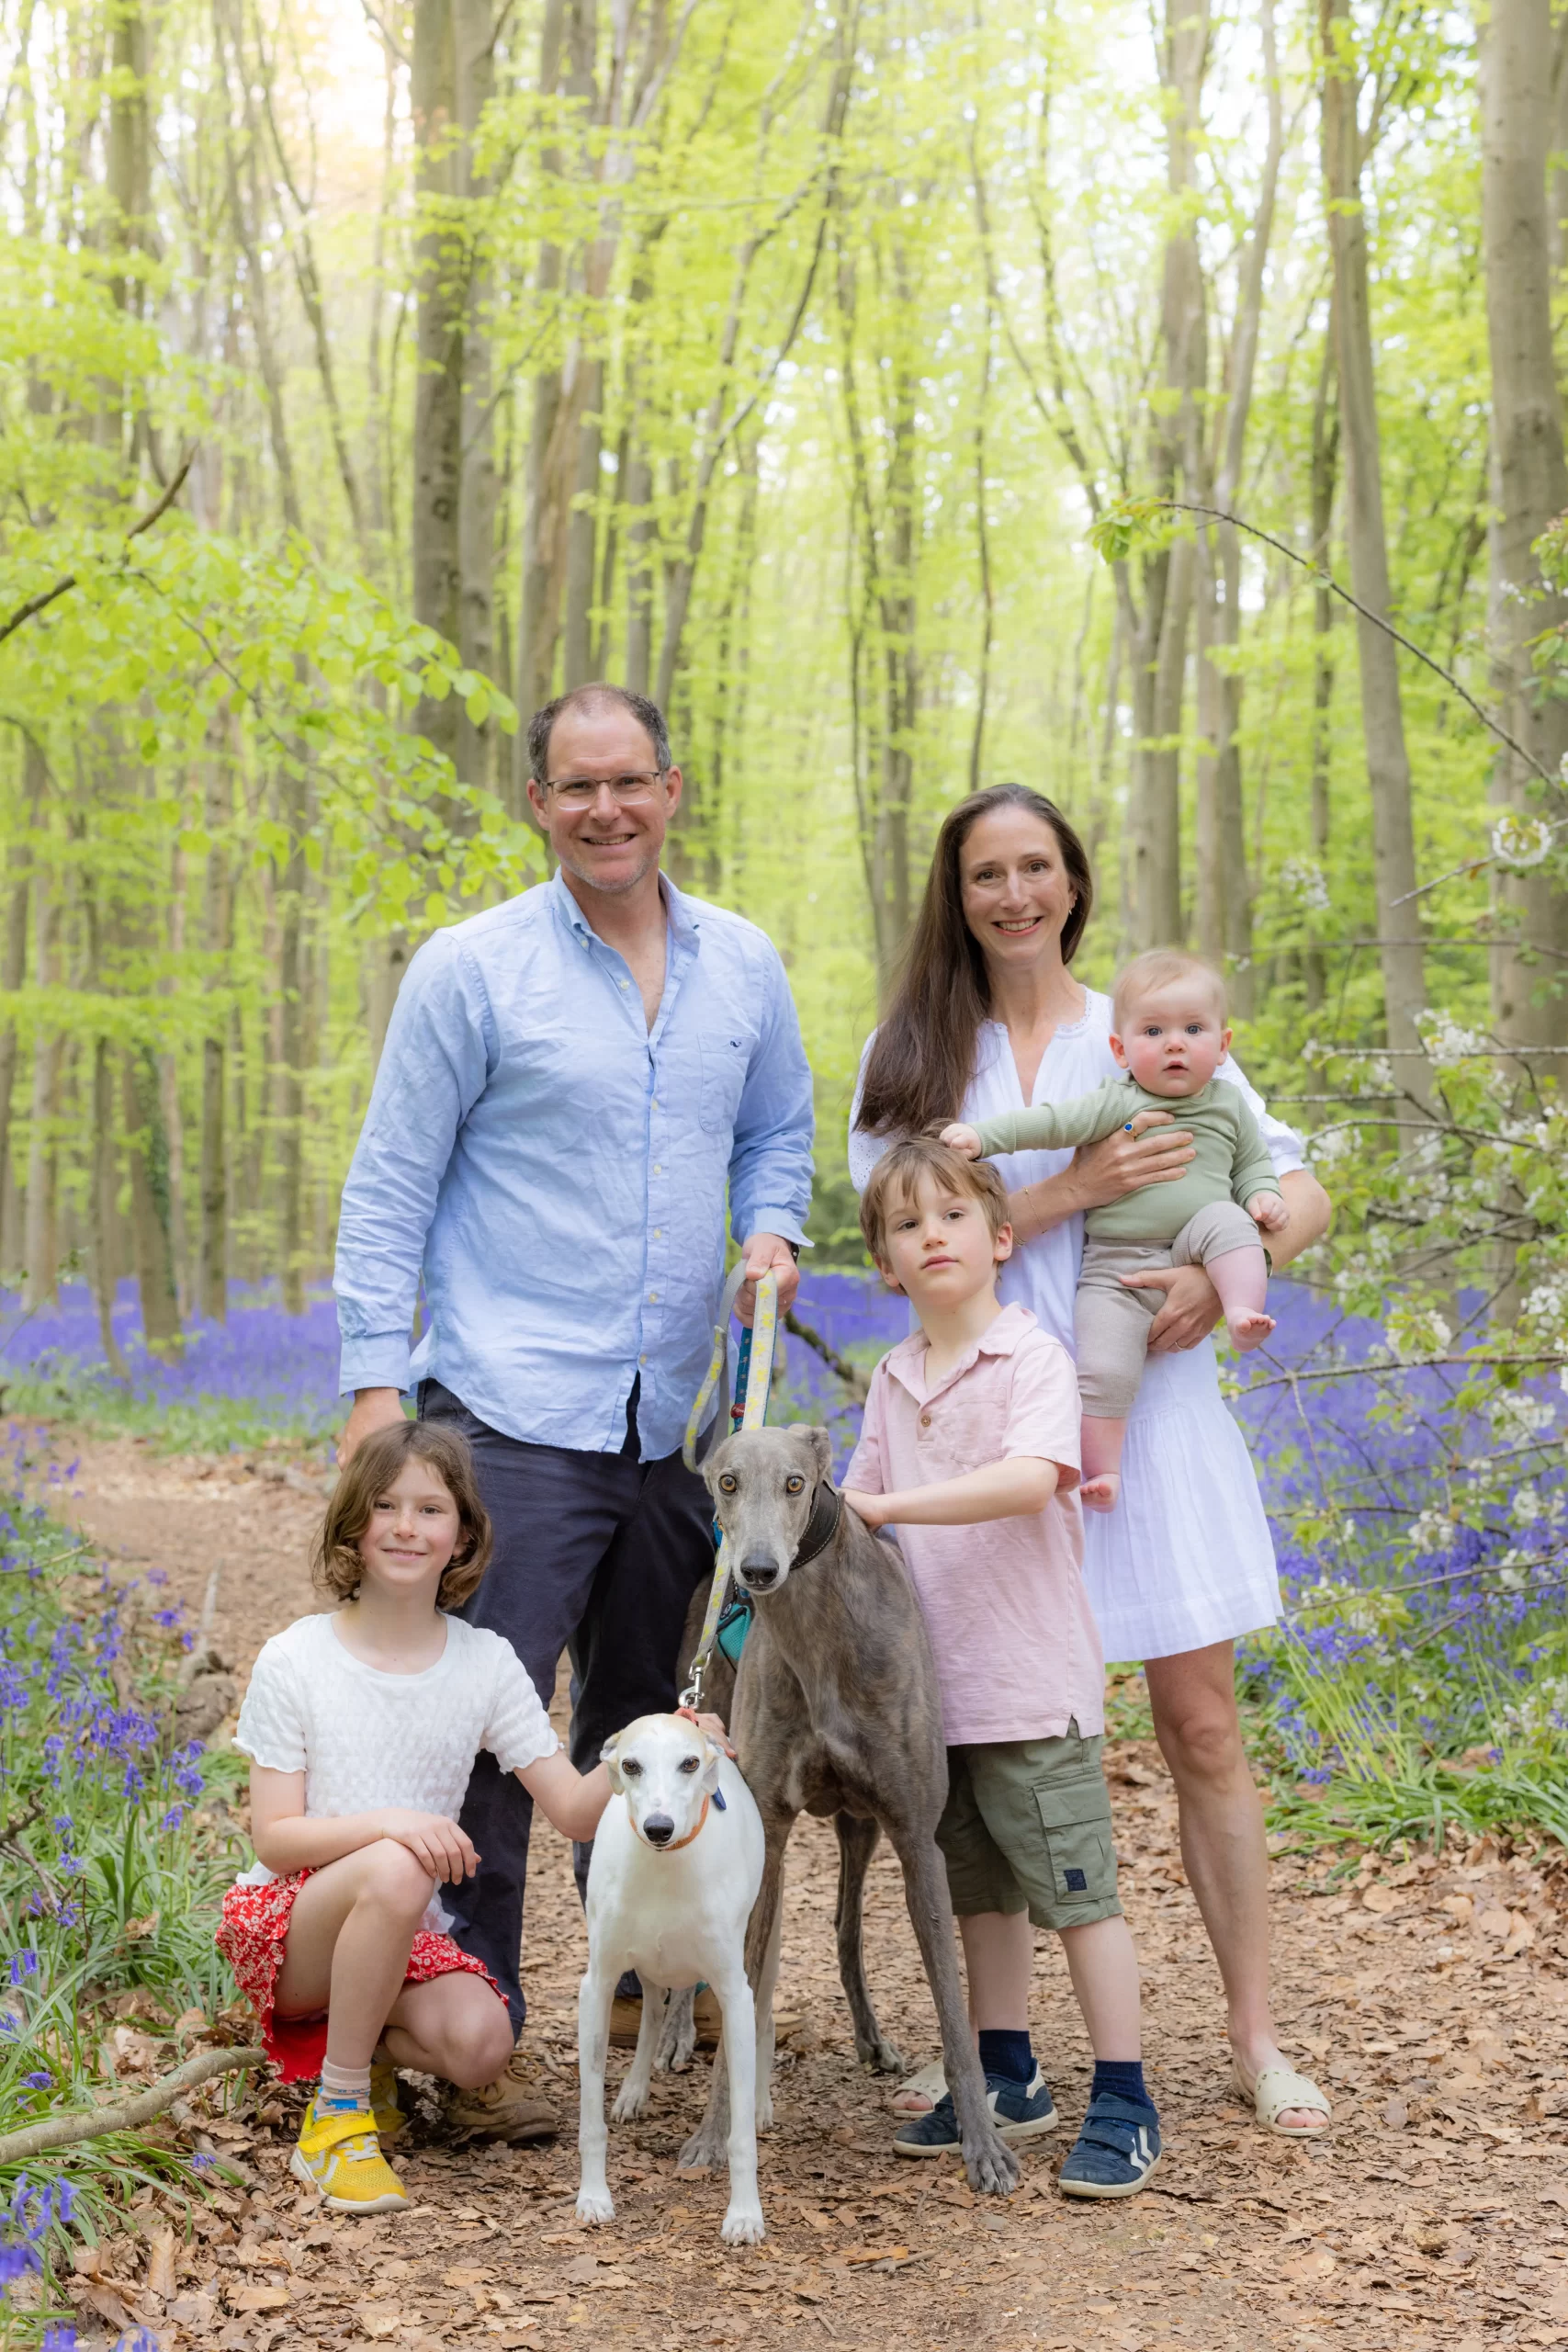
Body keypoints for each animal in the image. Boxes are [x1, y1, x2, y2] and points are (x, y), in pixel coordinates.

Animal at [576, 1712, 768, 2244]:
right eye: (630, 1765)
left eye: (688, 1763)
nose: (658, 1828)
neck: (665, 1867)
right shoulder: (597, 1986)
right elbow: (590, 2121)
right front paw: (593, 2198)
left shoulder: (734, 1995)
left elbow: (739, 2135)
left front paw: (745, 2215)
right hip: (649, 1966)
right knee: (650, 2016)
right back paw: (634, 2089)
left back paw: (763, 2102)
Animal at [676, 1423, 1021, 2198]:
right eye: (727, 1482)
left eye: (796, 1483)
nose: (757, 1571)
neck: (817, 1634)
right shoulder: (769, 1830)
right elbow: (743, 1992)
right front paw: (712, 2132)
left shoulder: (916, 1837)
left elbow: (953, 2011)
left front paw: (982, 2148)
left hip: (858, 1826)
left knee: (843, 1928)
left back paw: (866, 2040)